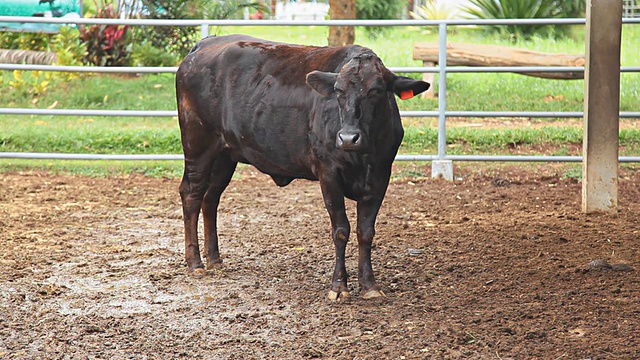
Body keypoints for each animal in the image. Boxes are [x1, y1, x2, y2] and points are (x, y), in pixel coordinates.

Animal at [175, 34, 430, 298]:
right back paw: (195, 262)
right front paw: (339, 286)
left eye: (377, 91)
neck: (362, 157)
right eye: (338, 91)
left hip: (225, 156)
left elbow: (366, 231)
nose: (348, 138)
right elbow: (341, 230)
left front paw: (369, 285)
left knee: (211, 198)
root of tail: (206, 43)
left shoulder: (380, 174)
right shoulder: (329, 174)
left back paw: (214, 259)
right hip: (197, 144)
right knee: (192, 194)